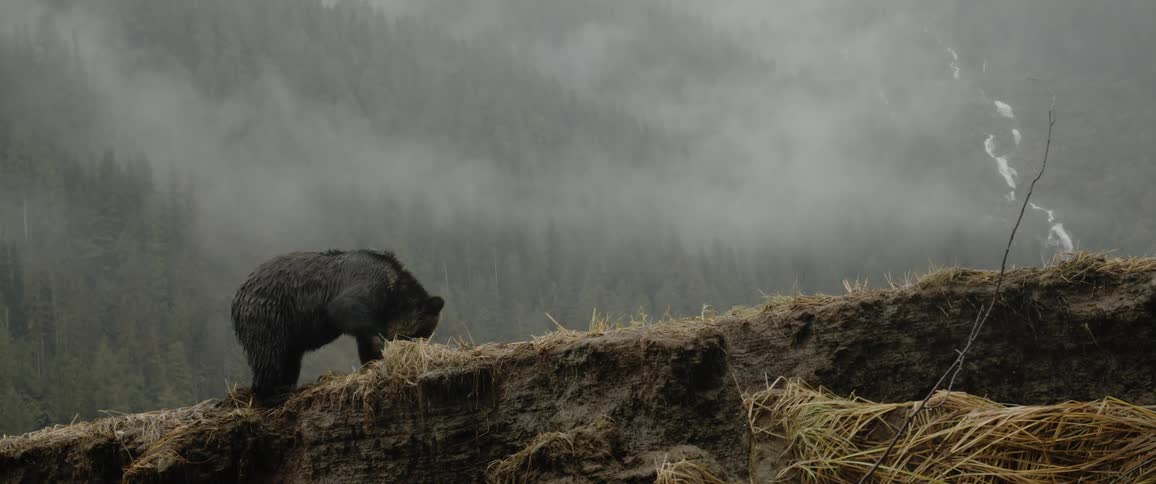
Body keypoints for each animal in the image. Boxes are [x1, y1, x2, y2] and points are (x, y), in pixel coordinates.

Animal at [229, 248, 444, 406]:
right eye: (418, 333)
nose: (416, 348)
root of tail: (238, 296)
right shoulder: (367, 285)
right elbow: (343, 309)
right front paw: (381, 346)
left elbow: (365, 342)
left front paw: (372, 361)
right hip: (269, 313)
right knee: (269, 354)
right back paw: (271, 394)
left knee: (290, 359)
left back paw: (286, 387)